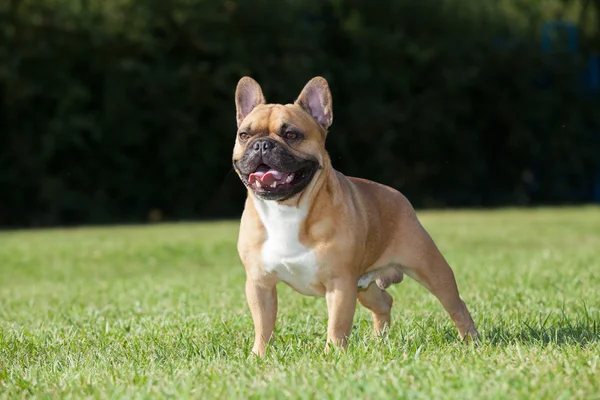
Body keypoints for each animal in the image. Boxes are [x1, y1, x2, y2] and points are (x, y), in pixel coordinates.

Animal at [231, 76, 478, 354]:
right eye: (244, 135)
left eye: (291, 135)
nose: (262, 144)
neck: (286, 209)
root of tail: (399, 197)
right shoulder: (260, 284)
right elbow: (263, 325)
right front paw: (259, 355)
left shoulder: (340, 284)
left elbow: (337, 325)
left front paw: (333, 355)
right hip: (364, 286)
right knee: (385, 301)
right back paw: (379, 339)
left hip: (430, 269)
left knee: (456, 305)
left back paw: (472, 341)